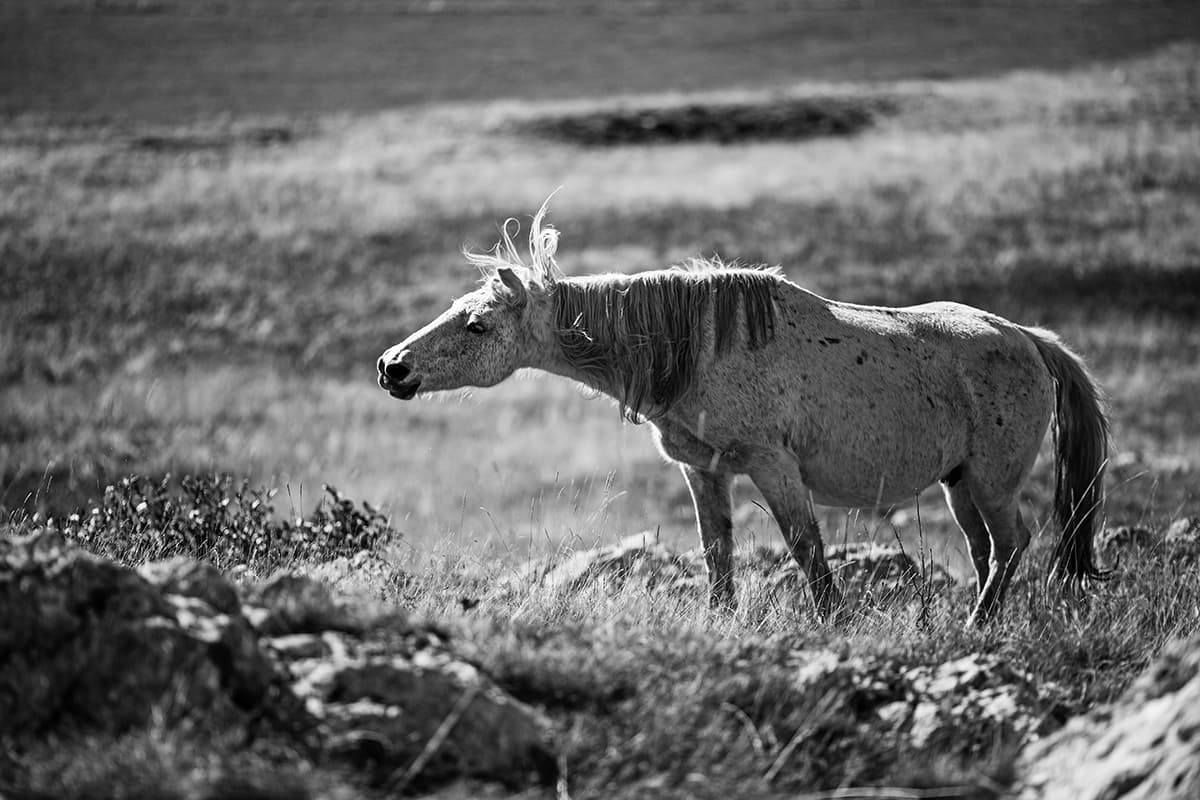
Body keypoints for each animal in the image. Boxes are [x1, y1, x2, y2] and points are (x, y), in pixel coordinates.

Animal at [377, 205, 1109, 625]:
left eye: (476, 325)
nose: (392, 367)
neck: (696, 346)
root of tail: (1028, 339)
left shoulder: (771, 465)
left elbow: (806, 549)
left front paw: (833, 624)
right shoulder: (705, 473)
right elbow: (717, 552)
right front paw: (721, 621)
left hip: (991, 480)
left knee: (1011, 545)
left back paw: (977, 630)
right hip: (959, 484)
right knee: (986, 553)